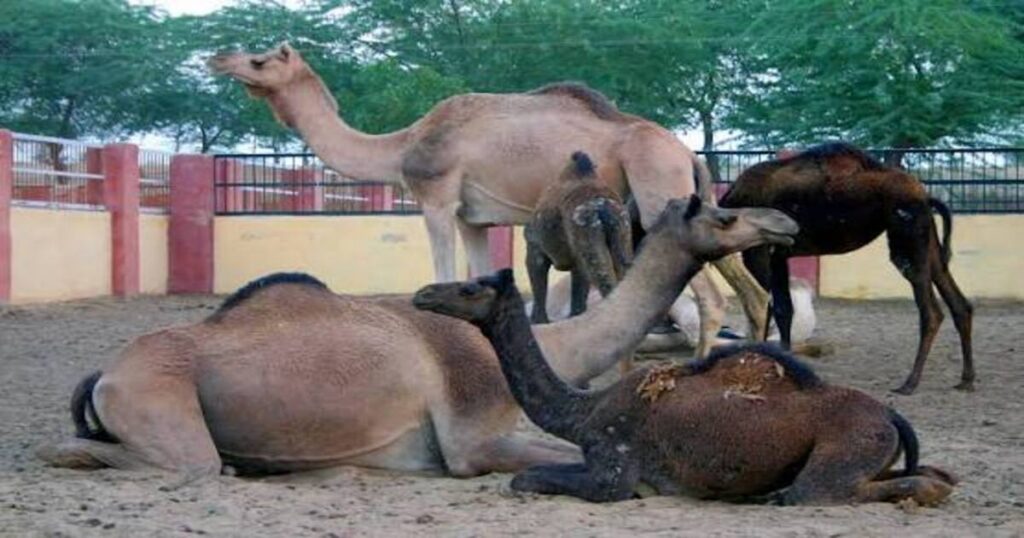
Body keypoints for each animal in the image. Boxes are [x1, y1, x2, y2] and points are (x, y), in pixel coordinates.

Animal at [37, 196, 797, 482]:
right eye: (724, 216)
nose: (785, 222)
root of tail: (105, 374)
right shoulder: (469, 440)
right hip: (159, 405)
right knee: (165, 461)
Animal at [413, 269, 957, 505]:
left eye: (470, 288)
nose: (422, 294)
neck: (583, 413)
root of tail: (891, 416)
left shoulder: (615, 465)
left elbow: (528, 479)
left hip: (839, 456)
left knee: (817, 492)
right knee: (935, 472)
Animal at [719, 143, 974, 394]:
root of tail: (926, 195)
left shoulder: (762, 250)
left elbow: (770, 306)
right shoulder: (778, 255)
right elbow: (779, 307)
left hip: (907, 238)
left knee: (931, 312)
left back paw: (909, 383)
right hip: (927, 239)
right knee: (959, 302)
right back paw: (966, 379)